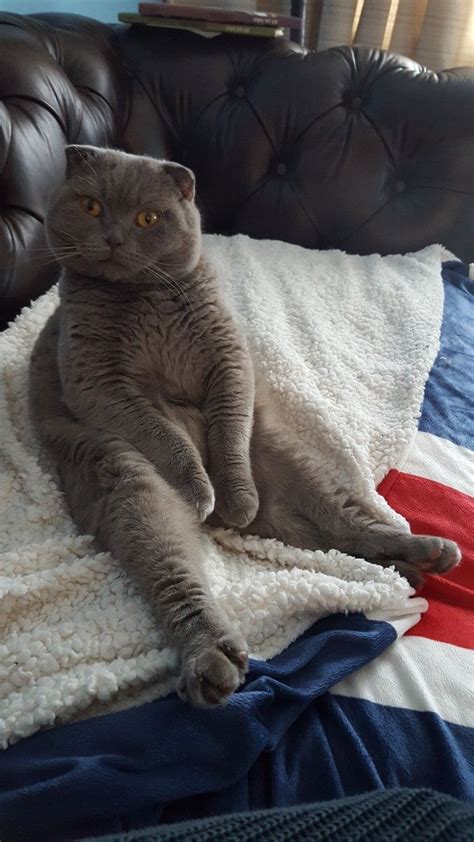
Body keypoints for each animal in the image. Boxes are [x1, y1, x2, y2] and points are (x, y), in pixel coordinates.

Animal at [28, 148, 460, 704]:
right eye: (91, 206)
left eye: (148, 218)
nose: (115, 238)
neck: (141, 298)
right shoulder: (98, 386)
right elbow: (165, 435)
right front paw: (201, 488)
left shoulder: (227, 360)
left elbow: (229, 426)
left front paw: (232, 495)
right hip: (128, 478)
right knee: (176, 570)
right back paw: (212, 660)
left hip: (288, 457)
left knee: (349, 525)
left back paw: (422, 553)